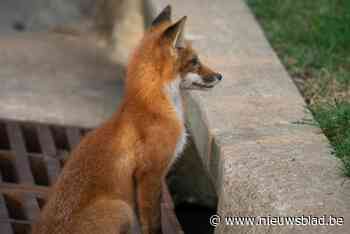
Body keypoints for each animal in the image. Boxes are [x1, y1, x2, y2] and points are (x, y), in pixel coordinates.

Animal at [32, 5, 221, 234]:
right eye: (194, 62)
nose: (220, 76)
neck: (155, 109)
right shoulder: (150, 174)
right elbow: (153, 223)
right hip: (122, 209)